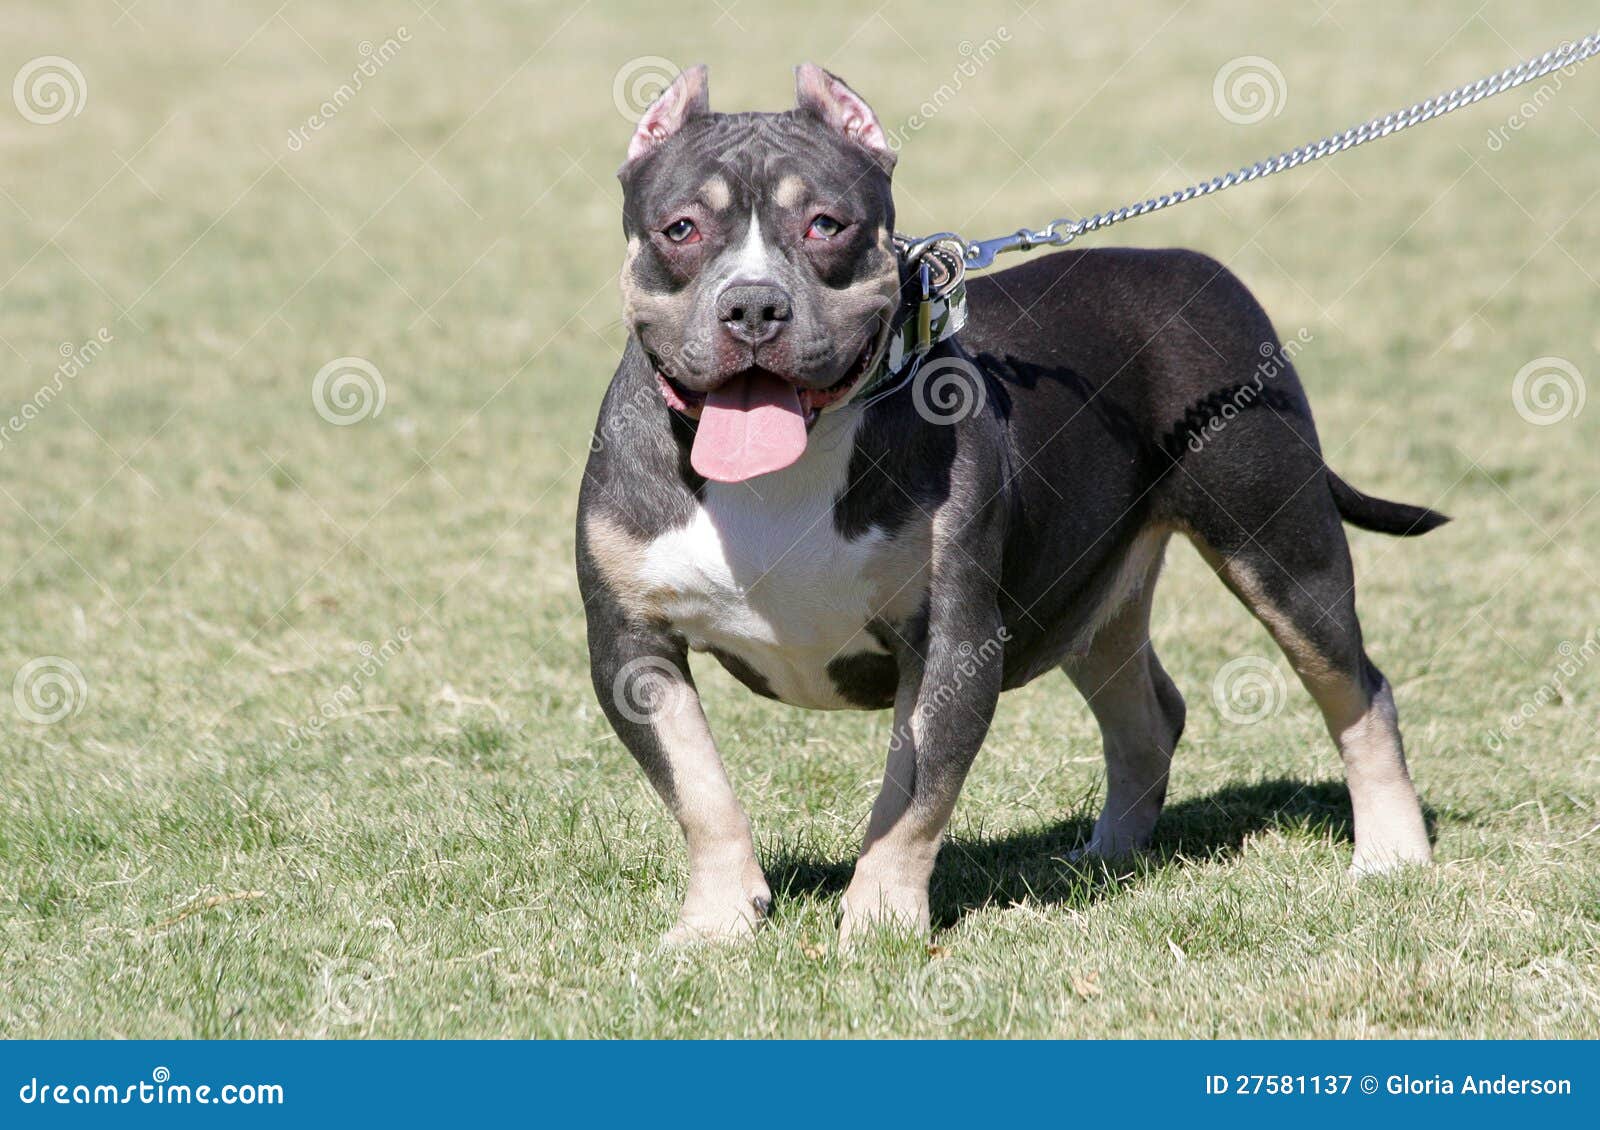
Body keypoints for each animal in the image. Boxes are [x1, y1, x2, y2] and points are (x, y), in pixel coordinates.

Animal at [569, 61, 1446, 941]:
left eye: (826, 224)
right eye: (681, 229)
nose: (752, 304)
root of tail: (1197, 268)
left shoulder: (952, 640)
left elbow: (913, 797)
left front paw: (879, 922)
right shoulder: (632, 647)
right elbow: (700, 791)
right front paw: (716, 923)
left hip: (1280, 547)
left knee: (1356, 689)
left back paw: (1389, 853)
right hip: (1084, 590)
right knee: (1147, 714)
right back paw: (1105, 860)